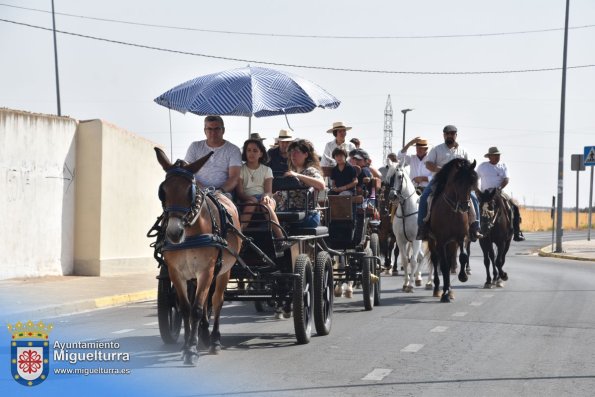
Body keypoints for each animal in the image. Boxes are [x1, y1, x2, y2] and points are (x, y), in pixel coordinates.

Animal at [156, 148, 244, 366]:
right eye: (162, 191)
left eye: (191, 192)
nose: (174, 233)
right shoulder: (176, 272)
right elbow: (185, 309)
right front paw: (188, 345)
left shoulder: (206, 270)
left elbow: (196, 308)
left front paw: (191, 350)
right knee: (203, 302)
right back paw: (202, 335)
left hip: (223, 271)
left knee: (216, 300)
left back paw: (214, 341)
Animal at [386, 162, 428, 292]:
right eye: (388, 177)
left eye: (400, 176)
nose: (392, 195)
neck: (407, 212)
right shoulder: (400, 240)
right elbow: (405, 261)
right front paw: (406, 283)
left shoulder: (416, 240)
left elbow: (413, 261)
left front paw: (410, 285)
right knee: (422, 256)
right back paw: (418, 278)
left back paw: (430, 282)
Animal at [430, 158, 478, 300]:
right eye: (458, 182)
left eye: (472, 182)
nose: (464, 207)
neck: (451, 211)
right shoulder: (440, 240)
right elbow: (444, 265)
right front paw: (445, 293)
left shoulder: (460, 238)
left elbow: (462, 256)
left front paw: (463, 276)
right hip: (431, 240)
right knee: (435, 259)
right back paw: (437, 289)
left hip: (451, 242)